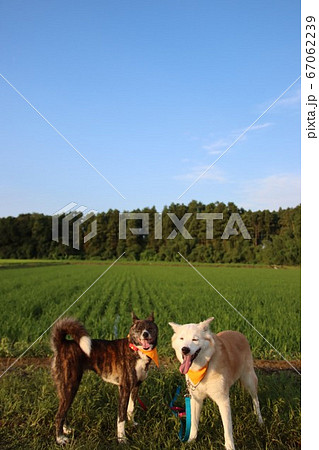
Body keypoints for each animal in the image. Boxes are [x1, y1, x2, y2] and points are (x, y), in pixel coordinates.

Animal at [51, 312, 159, 446]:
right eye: (139, 329)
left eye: (149, 328)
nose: (145, 334)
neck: (136, 350)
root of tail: (62, 344)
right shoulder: (124, 389)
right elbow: (121, 417)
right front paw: (122, 439)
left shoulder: (135, 386)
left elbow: (131, 408)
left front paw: (132, 424)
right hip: (70, 386)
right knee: (59, 415)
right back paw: (60, 438)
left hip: (65, 389)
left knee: (63, 411)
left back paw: (66, 430)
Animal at [169, 318, 264, 448]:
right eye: (182, 338)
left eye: (195, 339)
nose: (185, 349)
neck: (203, 368)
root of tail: (238, 333)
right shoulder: (195, 398)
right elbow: (193, 423)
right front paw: (191, 440)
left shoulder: (223, 401)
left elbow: (227, 429)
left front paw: (230, 446)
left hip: (249, 380)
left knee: (256, 400)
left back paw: (259, 419)